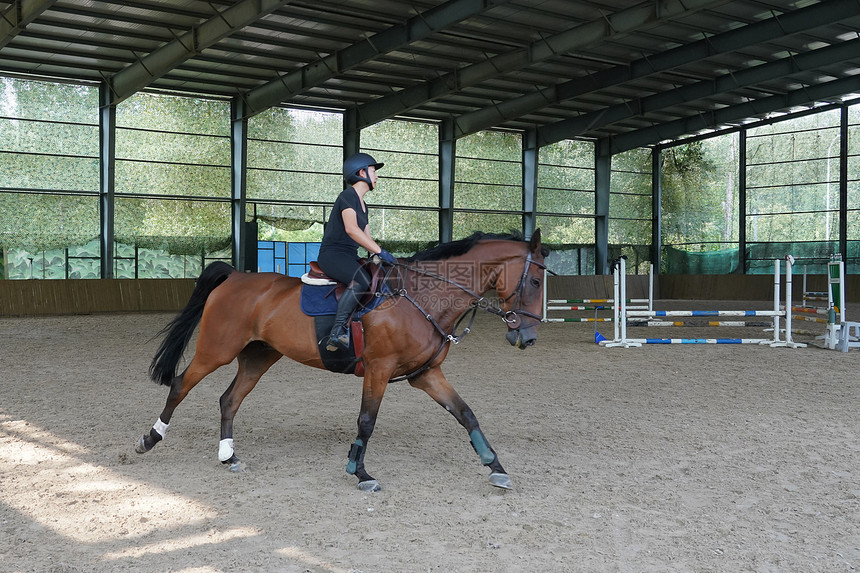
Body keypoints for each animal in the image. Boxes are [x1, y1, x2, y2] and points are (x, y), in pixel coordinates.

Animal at [138, 230, 548, 490]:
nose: (528, 338)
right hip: (217, 350)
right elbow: (367, 420)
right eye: (536, 282)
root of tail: (236, 275)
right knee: (180, 385)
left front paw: (495, 467)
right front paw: (360, 471)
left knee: (229, 399)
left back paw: (228, 456)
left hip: (259, 357)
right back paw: (150, 439)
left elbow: (466, 414)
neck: (420, 297)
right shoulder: (379, 369)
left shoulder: (427, 373)